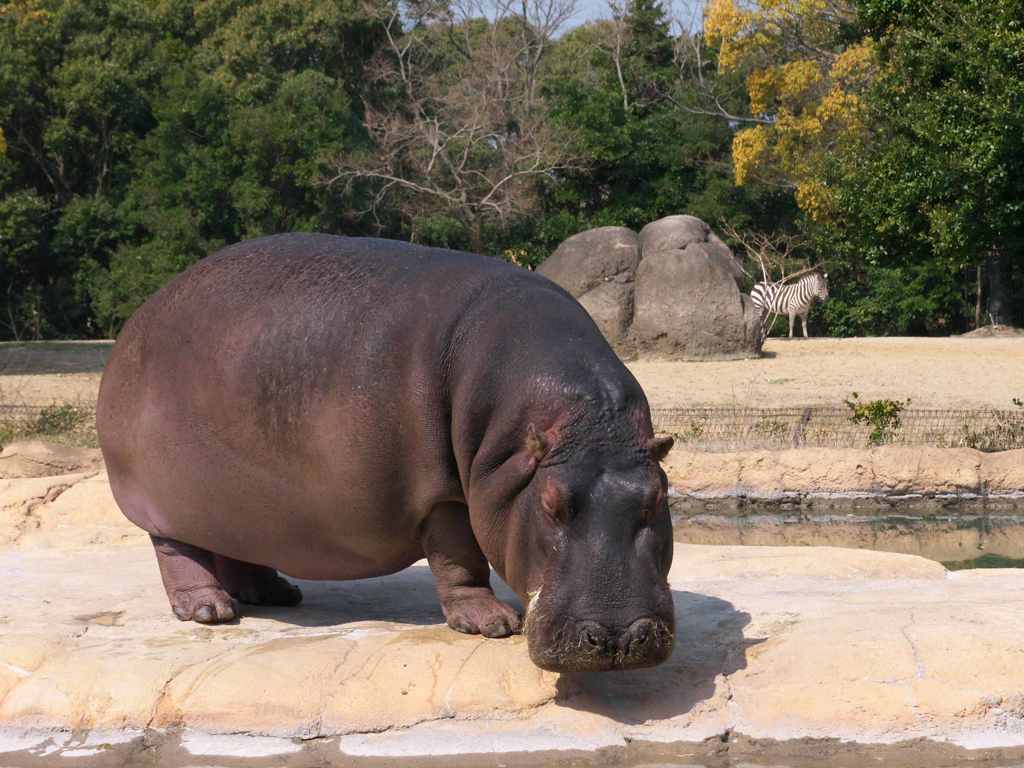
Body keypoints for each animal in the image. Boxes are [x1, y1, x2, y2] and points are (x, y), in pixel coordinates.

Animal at [94, 234, 671, 671]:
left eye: (657, 497)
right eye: (550, 505)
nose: (617, 638)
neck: (581, 425)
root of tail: (137, 320)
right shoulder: (443, 495)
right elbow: (460, 557)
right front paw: (491, 624)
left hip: (236, 501)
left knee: (237, 547)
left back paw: (275, 592)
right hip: (166, 501)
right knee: (177, 552)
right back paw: (210, 611)